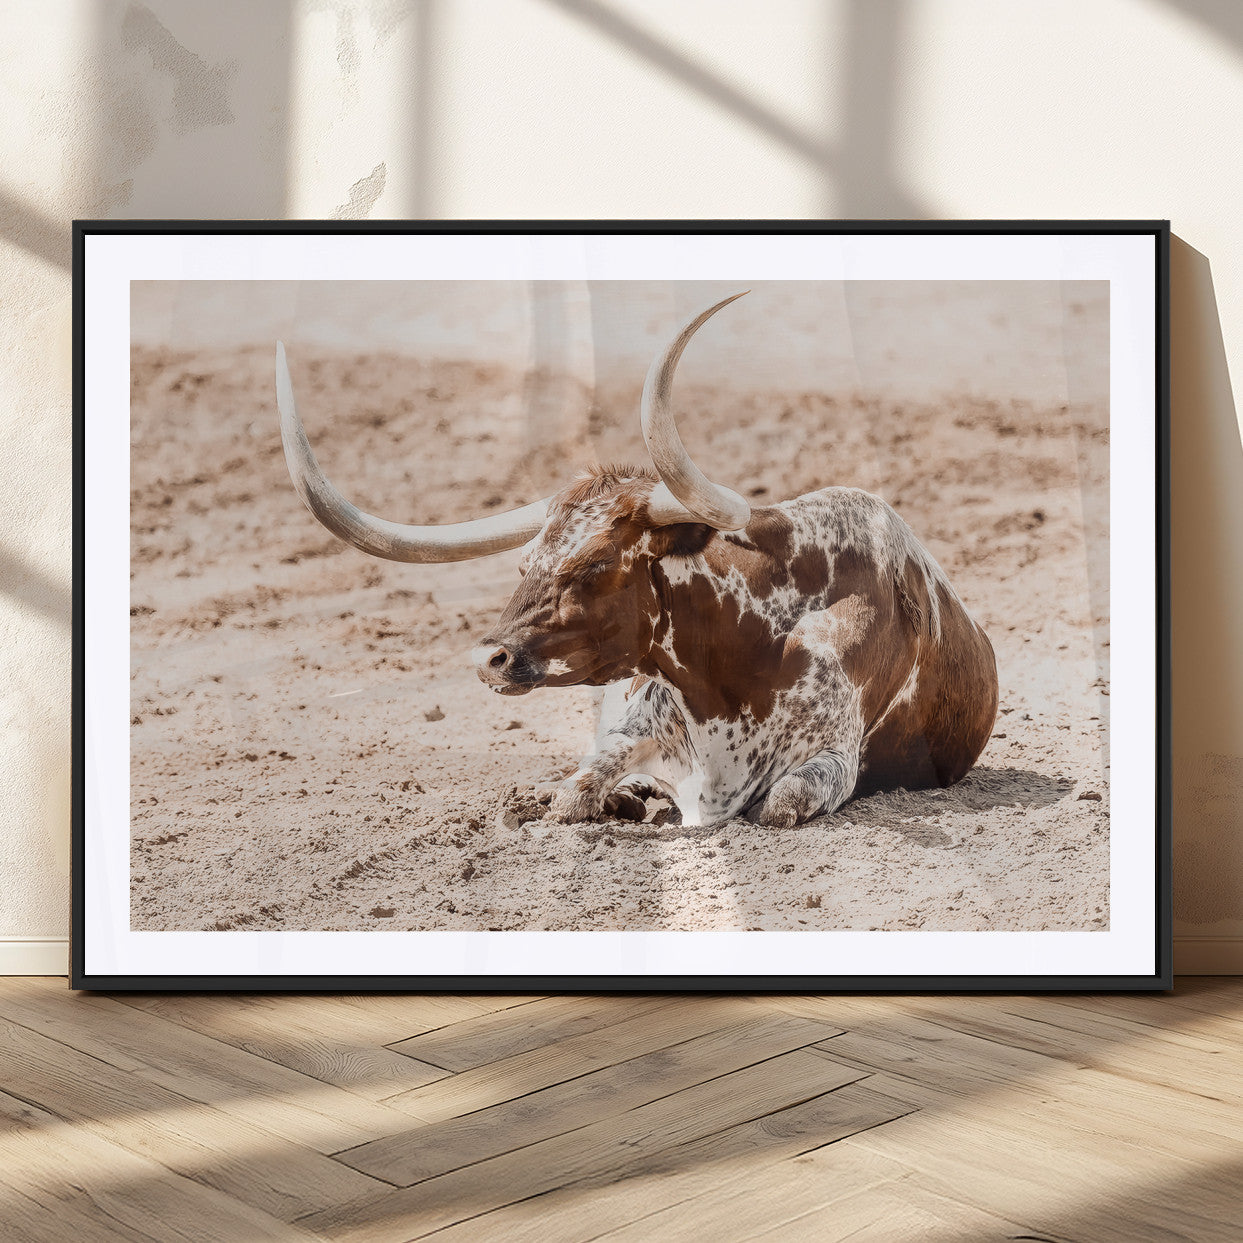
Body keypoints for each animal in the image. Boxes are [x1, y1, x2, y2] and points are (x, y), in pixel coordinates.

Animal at [276, 293, 998, 829]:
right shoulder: (632, 723)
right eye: (524, 563)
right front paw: (599, 798)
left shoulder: (831, 760)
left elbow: (778, 803)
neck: (744, 658)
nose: (490, 659)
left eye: (595, 566)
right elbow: (575, 791)